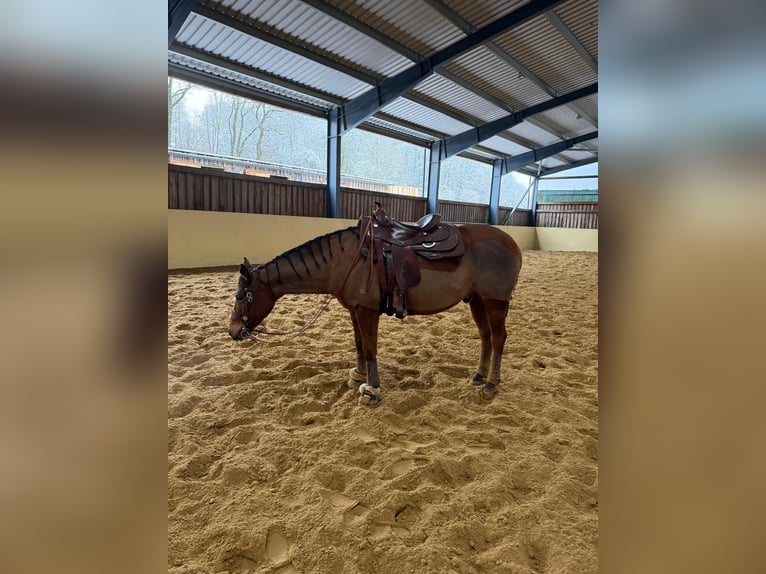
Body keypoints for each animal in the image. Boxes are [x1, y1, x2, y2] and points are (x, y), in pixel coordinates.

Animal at [228, 211, 522, 407]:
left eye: (242, 296)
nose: (233, 331)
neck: (344, 260)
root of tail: (512, 244)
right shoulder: (354, 311)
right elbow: (359, 345)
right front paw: (358, 376)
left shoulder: (367, 311)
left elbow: (370, 349)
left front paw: (372, 390)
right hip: (478, 301)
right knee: (486, 337)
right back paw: (479, 376)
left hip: (495, 302)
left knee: (498, 338)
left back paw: (491, 383)